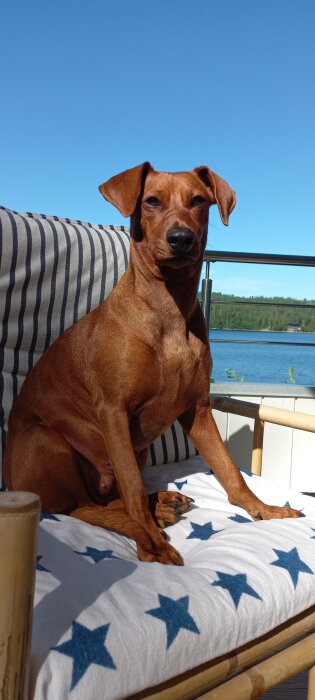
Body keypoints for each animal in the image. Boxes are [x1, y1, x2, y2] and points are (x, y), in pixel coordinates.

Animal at [3, 164, 304, 564]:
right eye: (151, 201)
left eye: (198, 200)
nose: (181, 238)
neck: (168, 309)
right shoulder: (113, 411)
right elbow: (131, 488)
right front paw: (151, 541)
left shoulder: (198, 409)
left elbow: (230, 473)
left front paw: (265, 510)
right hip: (48, 440)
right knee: (84, 507)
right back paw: (150, 522)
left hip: (137, 449)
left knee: (105, 499)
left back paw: (163, 503)